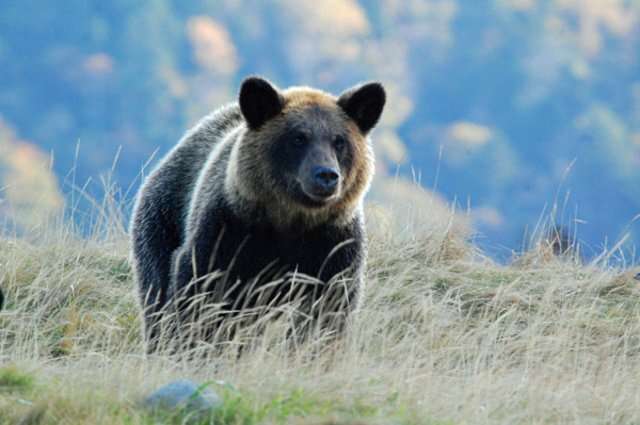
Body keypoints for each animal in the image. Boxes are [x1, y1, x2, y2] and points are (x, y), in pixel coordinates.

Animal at [130, 76, 385, 351]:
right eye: (298, 138)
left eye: (339, 141)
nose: (326, 175)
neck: (289, 220)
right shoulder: (227, 228)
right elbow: (198, 289)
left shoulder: (333, 243)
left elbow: (329, 307)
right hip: (162, 218)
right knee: (156, 292)